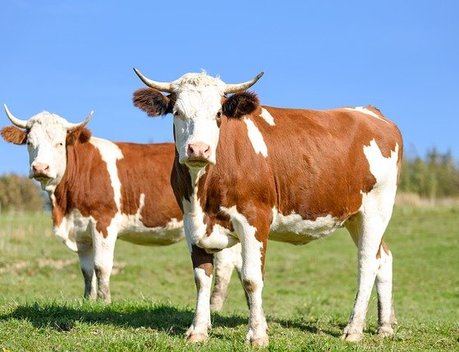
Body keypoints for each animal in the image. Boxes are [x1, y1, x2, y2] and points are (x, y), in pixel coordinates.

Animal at [0, 106, 243, 306]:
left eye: (59, 143)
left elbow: (101, 266)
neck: (64, 205)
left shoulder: (104, 222)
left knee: (225, 265)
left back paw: (215, 306)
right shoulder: (81, 230)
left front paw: (104, 301)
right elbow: (86, 270)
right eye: (30, 143)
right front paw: (88, 300)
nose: (40, 167)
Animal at [132, 69, 402, 346]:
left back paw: (354, 329)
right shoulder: (190, 221)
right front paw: (198, 330)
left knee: (367, 263)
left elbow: (251, 278)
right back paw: (384, 326)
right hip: (354, 217)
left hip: (376, 209)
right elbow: (201, 277)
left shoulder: (255, 218)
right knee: (384, 257)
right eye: (177, 112)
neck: (203, 192)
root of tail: (370, 112)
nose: (198, 149)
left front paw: (257, 335)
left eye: (218, 114)